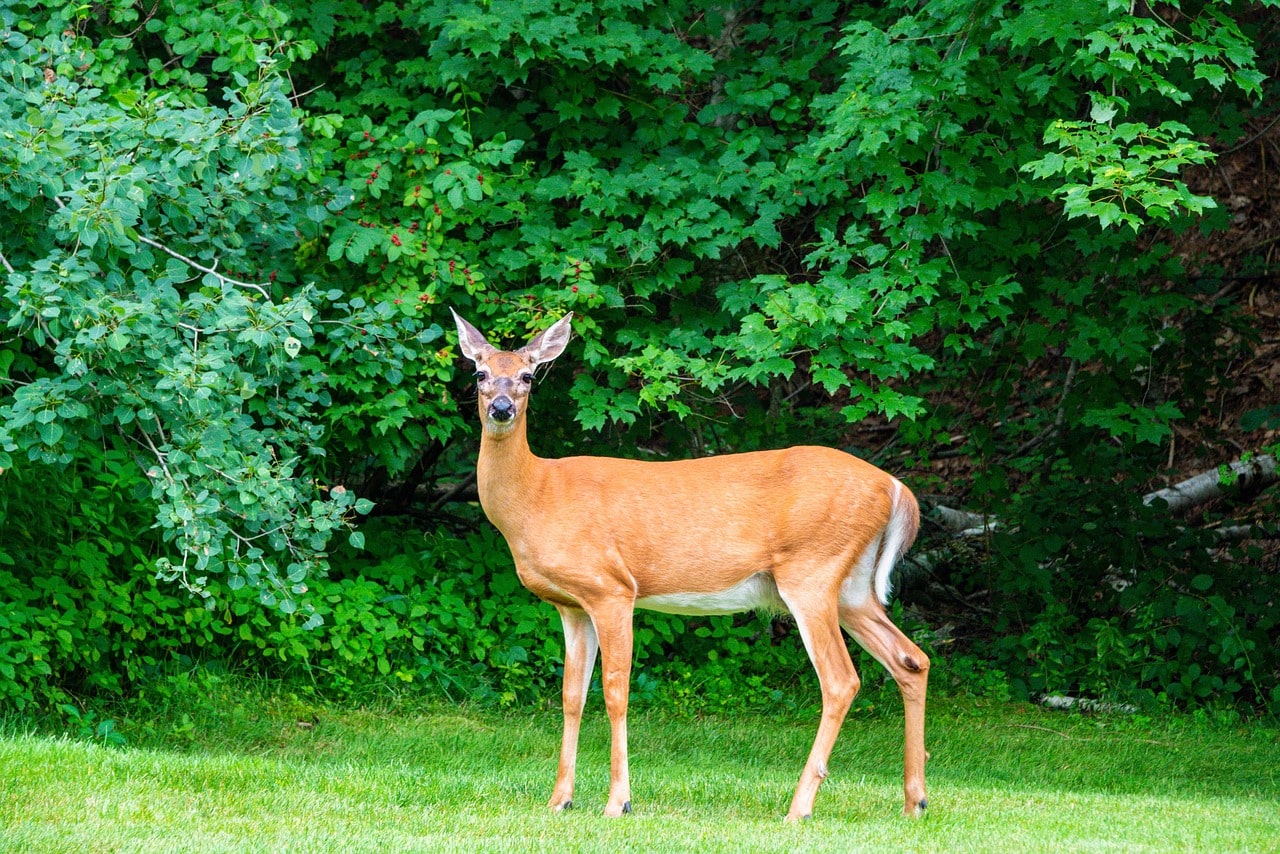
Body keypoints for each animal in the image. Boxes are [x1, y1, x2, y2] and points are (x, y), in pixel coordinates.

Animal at [450, 309, 929, 821]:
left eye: (527, 376)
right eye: (480, 373)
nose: (502, 408)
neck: (537, 498)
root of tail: (896, 487)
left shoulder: (611, 587)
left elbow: (615, 692)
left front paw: (619, 801)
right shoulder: (572, 605)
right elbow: (570, 696)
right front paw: (560, 799)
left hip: (812, 572)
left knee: (841, 680)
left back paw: (799, 808)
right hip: (853, 588)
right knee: (911, 659)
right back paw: (914, 801)